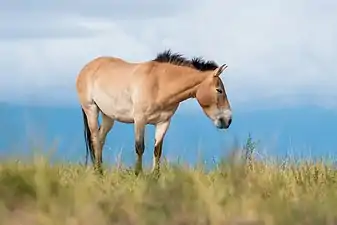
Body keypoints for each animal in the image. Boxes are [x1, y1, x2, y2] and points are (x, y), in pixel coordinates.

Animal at [75, 49, 232, 176]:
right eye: (219, 90)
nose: (228, 120)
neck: (160, 84)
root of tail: (86, 68)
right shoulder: (140, 120)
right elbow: (140, 147)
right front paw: (138, 174)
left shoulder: (163, 122)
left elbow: (157, 150)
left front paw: (155, 177)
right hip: (91, 110)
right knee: (95, 138)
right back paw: (98, 173)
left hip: (108, 116)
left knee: (100, 139)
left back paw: (100, 170)